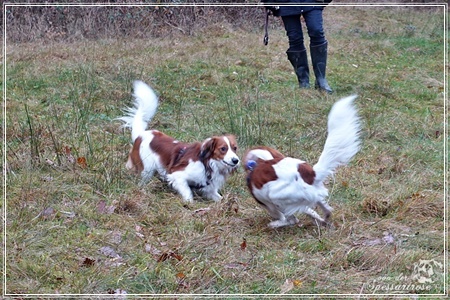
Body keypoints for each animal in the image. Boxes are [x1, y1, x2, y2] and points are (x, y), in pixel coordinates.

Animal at [244, 95, 360, 227]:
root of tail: (311, 174)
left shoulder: (271, 204)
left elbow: (288, 217)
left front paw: (279, 222)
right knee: (324, 206)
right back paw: (325, 218)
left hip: (276, 196)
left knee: (294, 216)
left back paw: (278, 224)